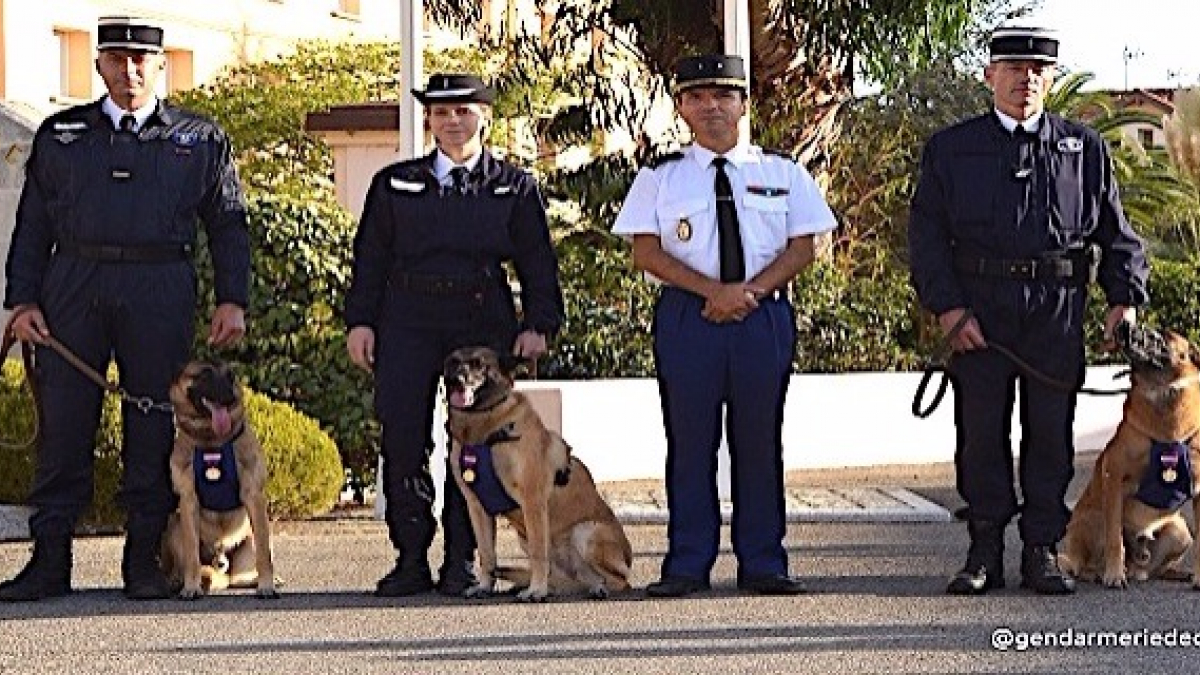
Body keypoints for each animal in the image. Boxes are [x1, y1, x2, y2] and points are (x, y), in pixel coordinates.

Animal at [162, 360, 278, 595]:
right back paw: (178, 581)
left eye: (230, 376)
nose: (230, 397)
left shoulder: (254, 497)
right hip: (175, 526)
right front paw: (191, 587)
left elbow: (264, 555)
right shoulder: (188, 501)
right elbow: (192, 557)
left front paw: (266, 585)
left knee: (247, 570)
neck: (212, 441)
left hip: (250, 541)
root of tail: (222, 560)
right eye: (205, 375)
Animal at [444, 345, 633, 598]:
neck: (486, 429)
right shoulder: (477, 508)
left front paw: (536, 591)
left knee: (619, 581)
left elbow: (537, 553)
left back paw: (597, 588)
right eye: (453, 363)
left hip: (585, 532)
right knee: (573, 579)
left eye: (478, 364)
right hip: (527, 539)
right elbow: (486, 554)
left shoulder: (532, 502)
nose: (456, 380)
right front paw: (484, 585)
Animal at [1060, 319, 1200, 583]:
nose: (1124, 322)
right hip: (1094, 519)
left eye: (1161, 335)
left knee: (1156, 569)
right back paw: (1102, 572)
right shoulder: (1114, 476)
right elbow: (1115, 539)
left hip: (1180, 530)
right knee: (1087, 562)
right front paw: (1114, 575)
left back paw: (1172, 572)